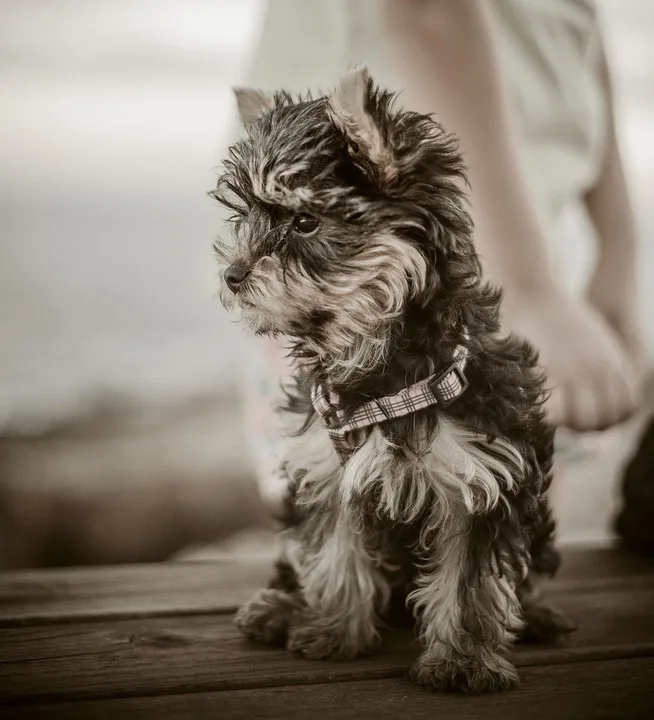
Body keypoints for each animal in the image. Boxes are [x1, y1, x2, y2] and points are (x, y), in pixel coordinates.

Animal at [211, 66, 576, 692]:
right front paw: (334, 631)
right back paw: (279, 608)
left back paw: (537, 615)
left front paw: (462, 661)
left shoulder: (482, 476)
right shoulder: (327, 470)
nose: (233, 275)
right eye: (248, 217)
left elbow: (469, 582)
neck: (379, 373)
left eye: (304, 222)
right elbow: (333, 551)